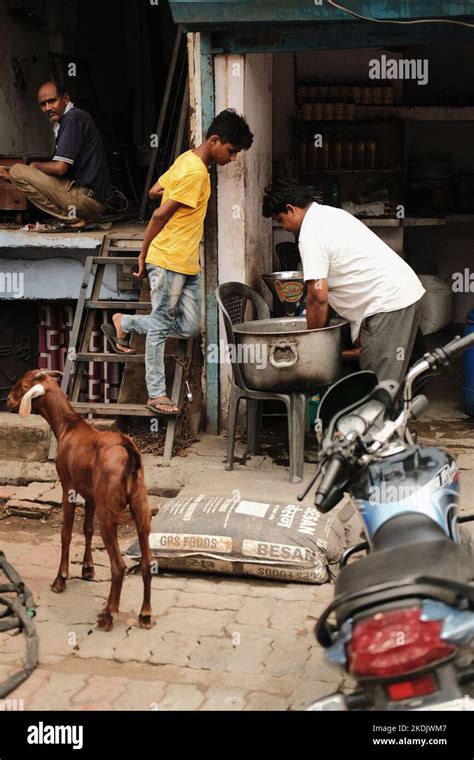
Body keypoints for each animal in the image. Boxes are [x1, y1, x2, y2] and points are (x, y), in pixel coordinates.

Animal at [7, 372, 154, 632]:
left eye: (22, 386)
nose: (7, 400)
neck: (68, 425)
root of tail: (129, 452)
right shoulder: (92, 496)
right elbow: (86, 529)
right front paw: (87, 569)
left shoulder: (69, 487)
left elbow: (66, 533)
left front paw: (61, 579)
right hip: (140, 506)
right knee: (147, 562)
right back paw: (145, 615)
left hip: (108, 512)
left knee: (118, 566)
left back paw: (108, 616)